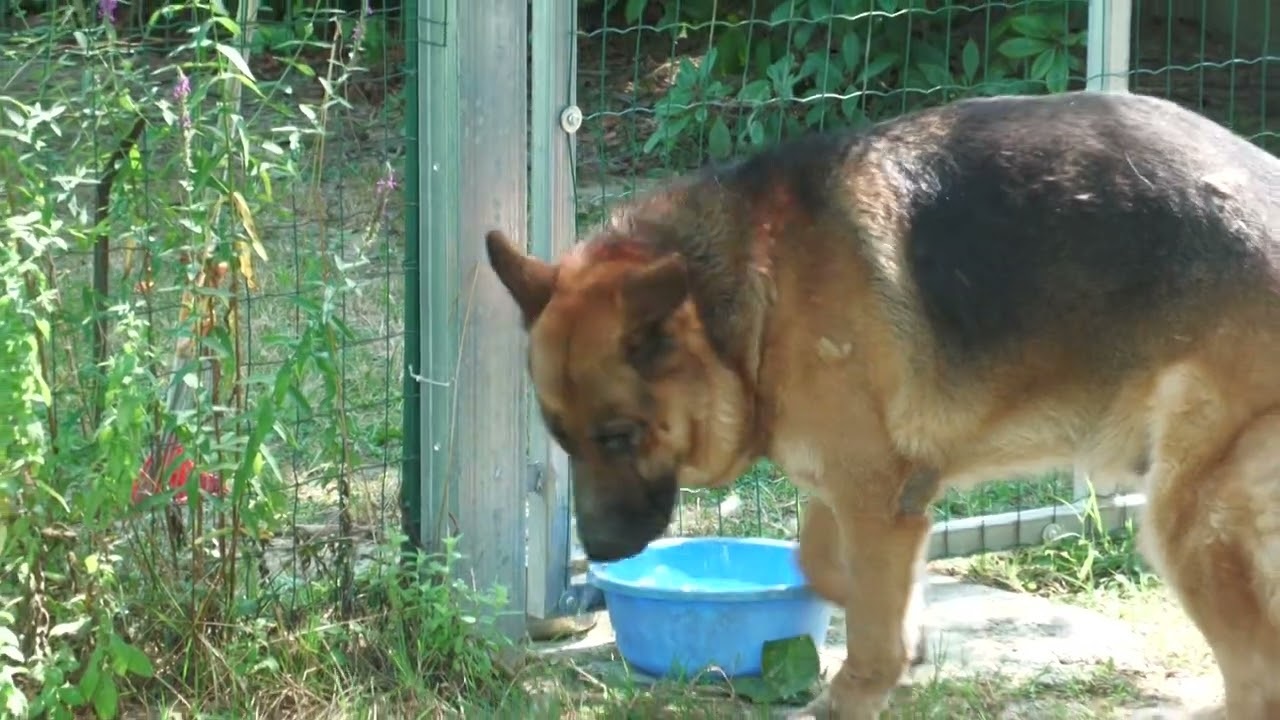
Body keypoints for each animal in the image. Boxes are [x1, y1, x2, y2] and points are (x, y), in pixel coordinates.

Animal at [483, 92, 1280, 712]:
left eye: (620, 436)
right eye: (563, 441)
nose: (600, 552)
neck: (756, 297)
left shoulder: (872, 494)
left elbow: (866, 621)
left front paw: (862, 686)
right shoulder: (856, 483)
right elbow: (821, 563)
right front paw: (912, 636)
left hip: (1189, 520)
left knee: (1258, 679)